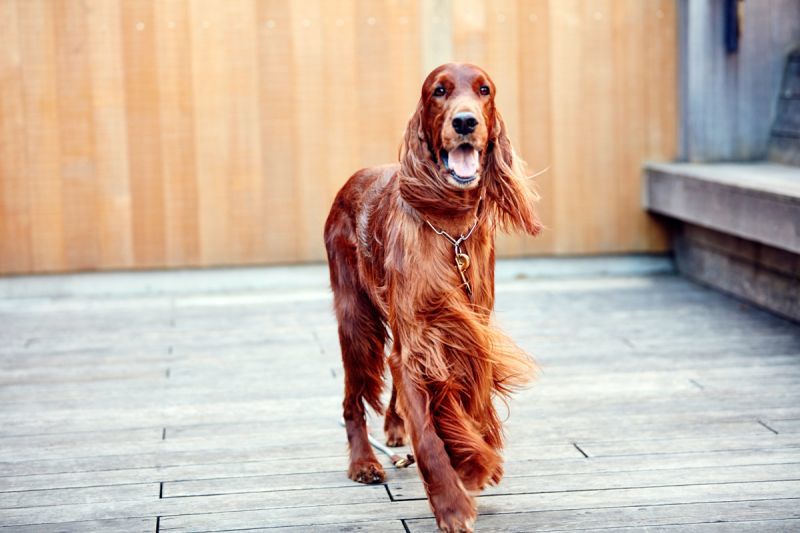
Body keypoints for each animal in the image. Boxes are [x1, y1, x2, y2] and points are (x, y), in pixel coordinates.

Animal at [322, 63, 540, 532]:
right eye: (439, 91)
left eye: (484, 90)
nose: (465, 122)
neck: (450, 227)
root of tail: (354, 178)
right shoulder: (422, 340)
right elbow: (428, 433)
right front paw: (453, 502)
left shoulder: (466, 331)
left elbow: (457, 407)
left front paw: (471, 464)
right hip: (356, 324)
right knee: (351, 400)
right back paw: (364, 462)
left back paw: (393, 426)